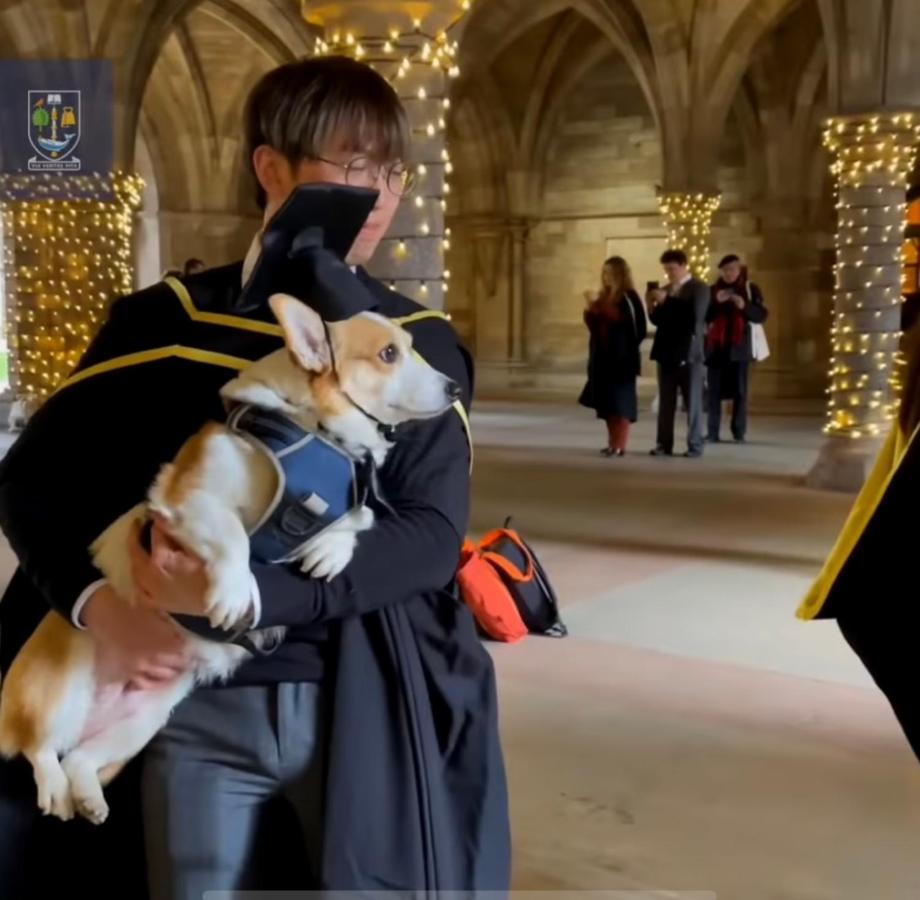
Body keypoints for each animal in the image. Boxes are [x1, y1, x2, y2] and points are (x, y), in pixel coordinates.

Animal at [0, 294, 460, 824]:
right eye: (389, 354)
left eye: (410, 345)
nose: (455, 386)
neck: (315, 428)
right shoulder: (190, 500)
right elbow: (233, 537)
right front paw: (234, 591)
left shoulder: (356, 501)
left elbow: (357, 518)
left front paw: (328, 550)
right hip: (60, 689)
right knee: (39, 748)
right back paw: (54, 788)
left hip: (145, 719)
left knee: (79, 757)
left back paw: (90, 798)